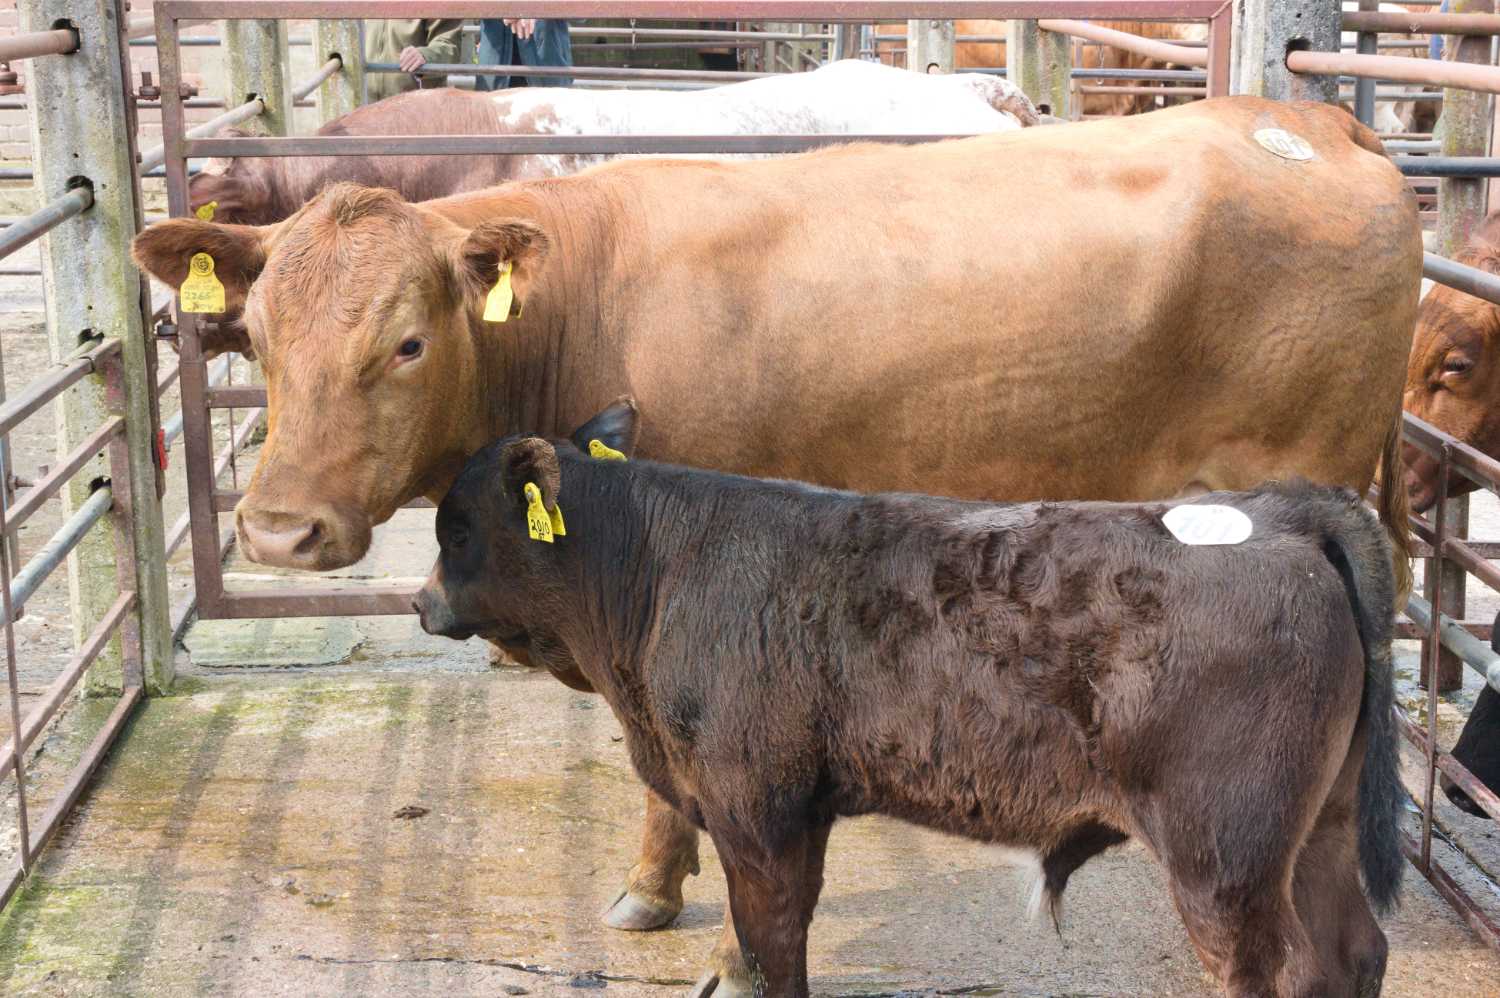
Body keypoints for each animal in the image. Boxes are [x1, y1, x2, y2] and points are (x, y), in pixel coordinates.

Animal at [413, 402, 1403, 998]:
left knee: (1276, 970)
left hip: (1224, 858)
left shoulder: (756, 809)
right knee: (1347, 954)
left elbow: (772, 949)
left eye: (456, 530)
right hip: (1317, 827)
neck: (654, 571)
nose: (419, 602)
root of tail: (1283, 513)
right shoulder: (792, 810)